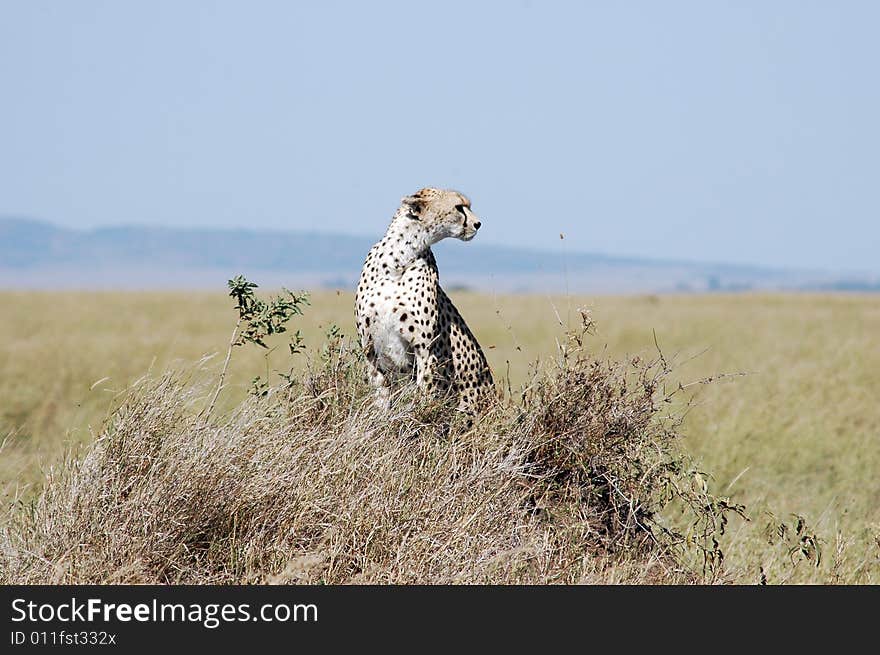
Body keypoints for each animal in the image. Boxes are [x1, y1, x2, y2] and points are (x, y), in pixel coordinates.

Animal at [356, 188, 496, 416]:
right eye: (459, 207)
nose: (478, 224)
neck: (399, 258)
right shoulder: (370, 350)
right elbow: (381, 396)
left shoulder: (425, 350)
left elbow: (423, 395)